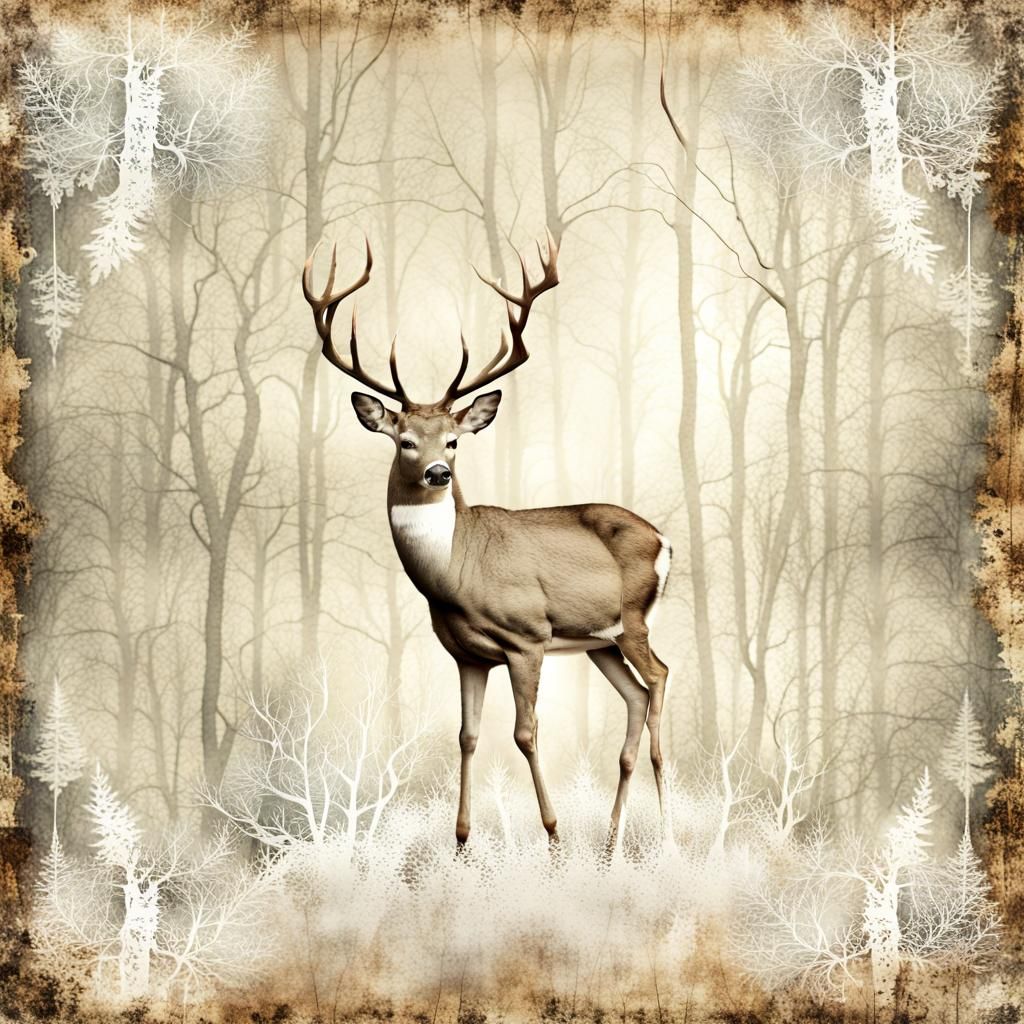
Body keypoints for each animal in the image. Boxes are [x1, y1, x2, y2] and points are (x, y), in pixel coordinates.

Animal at [302, 231, 672, 848]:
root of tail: (664, 539)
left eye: (453, 441)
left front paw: (552, 834)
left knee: (660, 677)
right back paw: (611, 841)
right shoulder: (466, 655)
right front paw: (461, 840)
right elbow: (467, 736)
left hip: (634, 619)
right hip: (600, 640)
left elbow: (525, 733)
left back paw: (662, 833)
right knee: (637, 696)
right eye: (404, 439)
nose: (436, 473)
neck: (458, 575)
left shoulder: (527, 638)